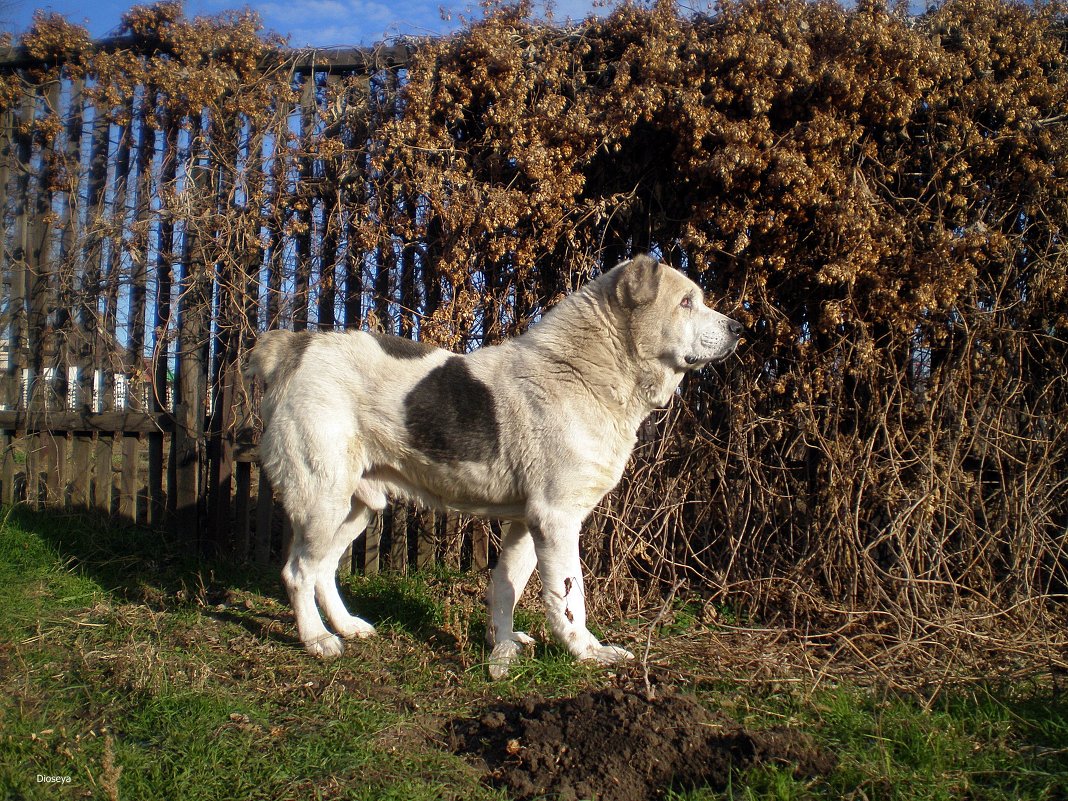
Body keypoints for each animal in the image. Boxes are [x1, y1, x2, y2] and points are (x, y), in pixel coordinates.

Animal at [244, 255, 739, 679]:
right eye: (686, 301)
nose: (740, 328)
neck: (584, 369)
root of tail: (295, 345)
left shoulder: (526, 521)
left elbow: (506, 586)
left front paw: (502, 645)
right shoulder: (556, 518)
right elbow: (569, 597)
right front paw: (585, 651)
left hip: (357, 506)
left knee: (324, 570)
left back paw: (347, 626)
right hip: (322, 499)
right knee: (298, 572)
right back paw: (317, 640)